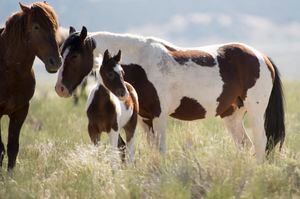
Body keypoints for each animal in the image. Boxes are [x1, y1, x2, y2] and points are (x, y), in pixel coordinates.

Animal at [55, 26, 284, 162]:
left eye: (74, 56)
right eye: (62, 53)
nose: (60, 88)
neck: (142, 64)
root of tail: (262, 57)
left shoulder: (159, 117)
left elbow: (161, 150)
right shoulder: (145, 119)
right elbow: (153, 151)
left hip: (255, 113)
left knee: (261, 144)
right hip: (232, 116)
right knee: (245, 145)